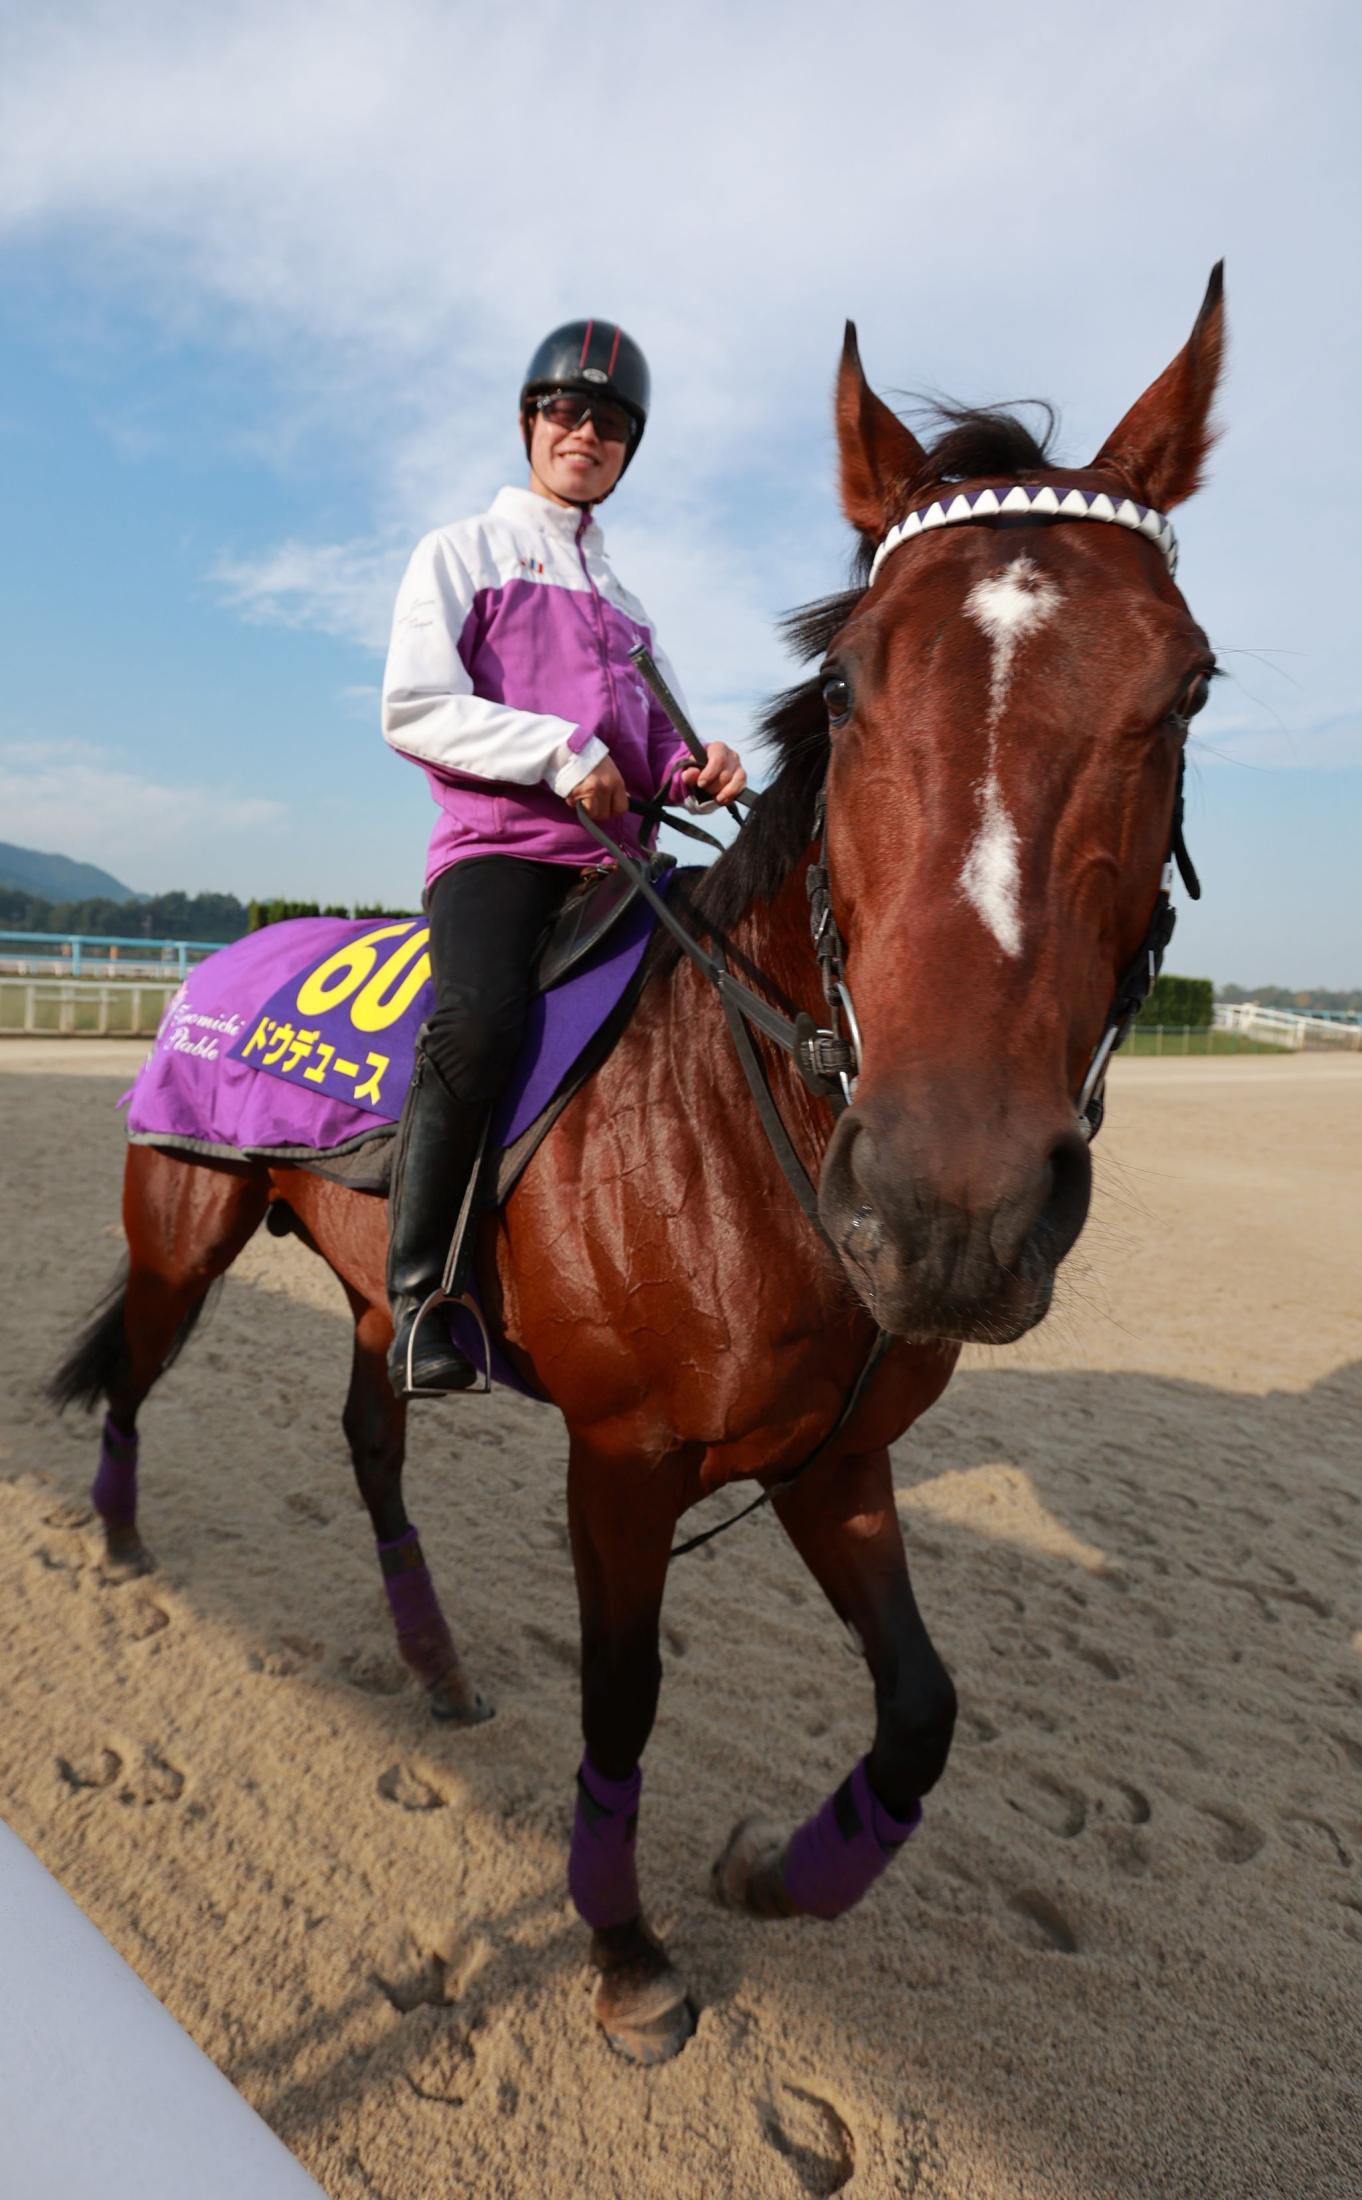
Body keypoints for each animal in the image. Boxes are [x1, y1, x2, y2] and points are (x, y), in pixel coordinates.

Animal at [50, 270, 1223, 2059]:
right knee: (136, 1376)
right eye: (852, 686)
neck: (742, 1129)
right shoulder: (620, 1459)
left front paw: (777, 1873)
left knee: (369, 1441)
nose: (948, 1206)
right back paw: (121, 1553)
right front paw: (620, 1948)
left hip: (370, 1289)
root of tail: (222, 960)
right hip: (185, 1228)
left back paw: (435, 1660)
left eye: (1188, 687)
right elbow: (622, 1705)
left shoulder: (831, 1456)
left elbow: (922, 1710)